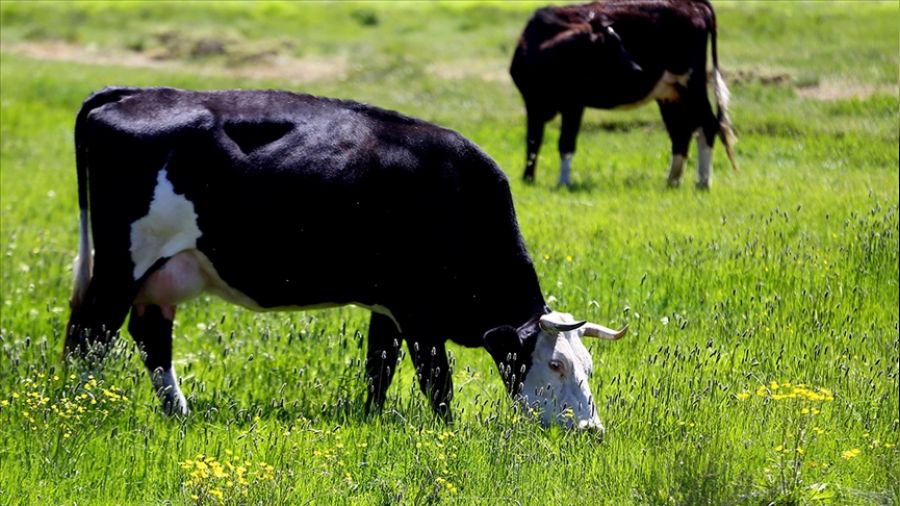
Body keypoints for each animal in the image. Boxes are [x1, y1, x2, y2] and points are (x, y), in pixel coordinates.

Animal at [65, 87, 624, 430]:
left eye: (589, 366)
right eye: (554, 364)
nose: (592, 429)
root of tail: (135, 93)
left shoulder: (388, 307)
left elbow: (380, 368)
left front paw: (373, 421)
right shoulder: (419, 314)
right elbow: (436, 382)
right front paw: (447, 433)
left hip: (163, 273)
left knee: (149, 336)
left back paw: (178, 414)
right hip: (120, 265)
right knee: (91, 334)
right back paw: (77, 410)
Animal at [510, 0, 736, 188]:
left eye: (622, 44)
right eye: (607, 49)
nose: (637, 69)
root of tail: (694, 4)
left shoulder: (574, 104)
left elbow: (566, 142)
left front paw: (563, 182)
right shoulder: (533, 103)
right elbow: (533, 141)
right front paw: (528, 179)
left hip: (691, 84)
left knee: (707, 125)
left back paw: (703, 183)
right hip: (670, 93)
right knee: (681, 132)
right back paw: (672, 181)